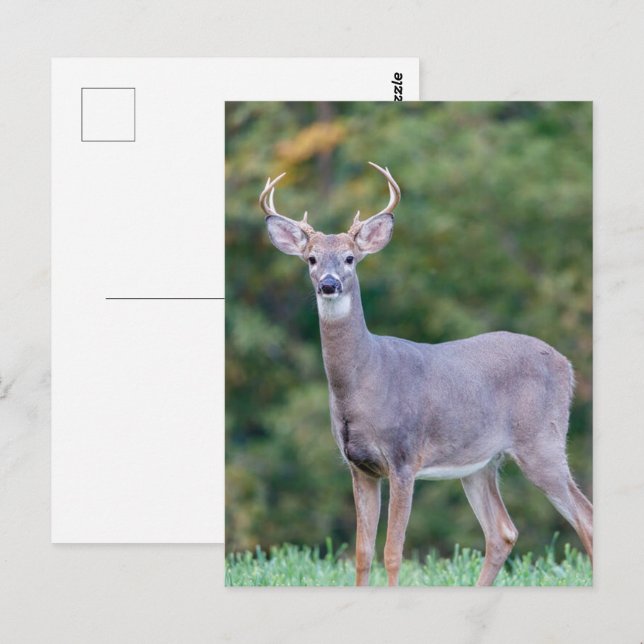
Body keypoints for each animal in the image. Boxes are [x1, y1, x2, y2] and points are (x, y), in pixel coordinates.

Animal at [259, 162, 593, 586]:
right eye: (311, 259)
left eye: (350, 258)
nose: (328, 285)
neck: (365, 381)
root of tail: (567, 365)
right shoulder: (359, 466)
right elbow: (362, 553)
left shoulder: (404, 458)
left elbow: (393, 551)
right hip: (481, 462)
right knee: (502, 531)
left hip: (542, 440)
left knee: (585, 517)